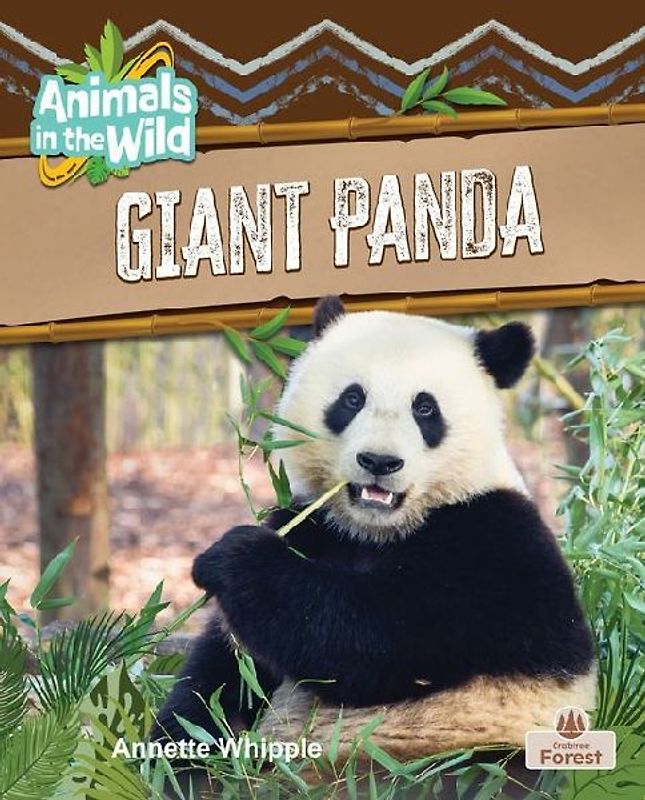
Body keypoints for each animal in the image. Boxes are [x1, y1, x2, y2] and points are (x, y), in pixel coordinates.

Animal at [154, 296, 595, 760]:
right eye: (352, 399)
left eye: (425, 408)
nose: (380, 461)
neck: (377, 531)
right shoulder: (313, 524)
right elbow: (227, 672)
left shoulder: (494, 545)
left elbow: (377, 639)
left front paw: (232, 557)